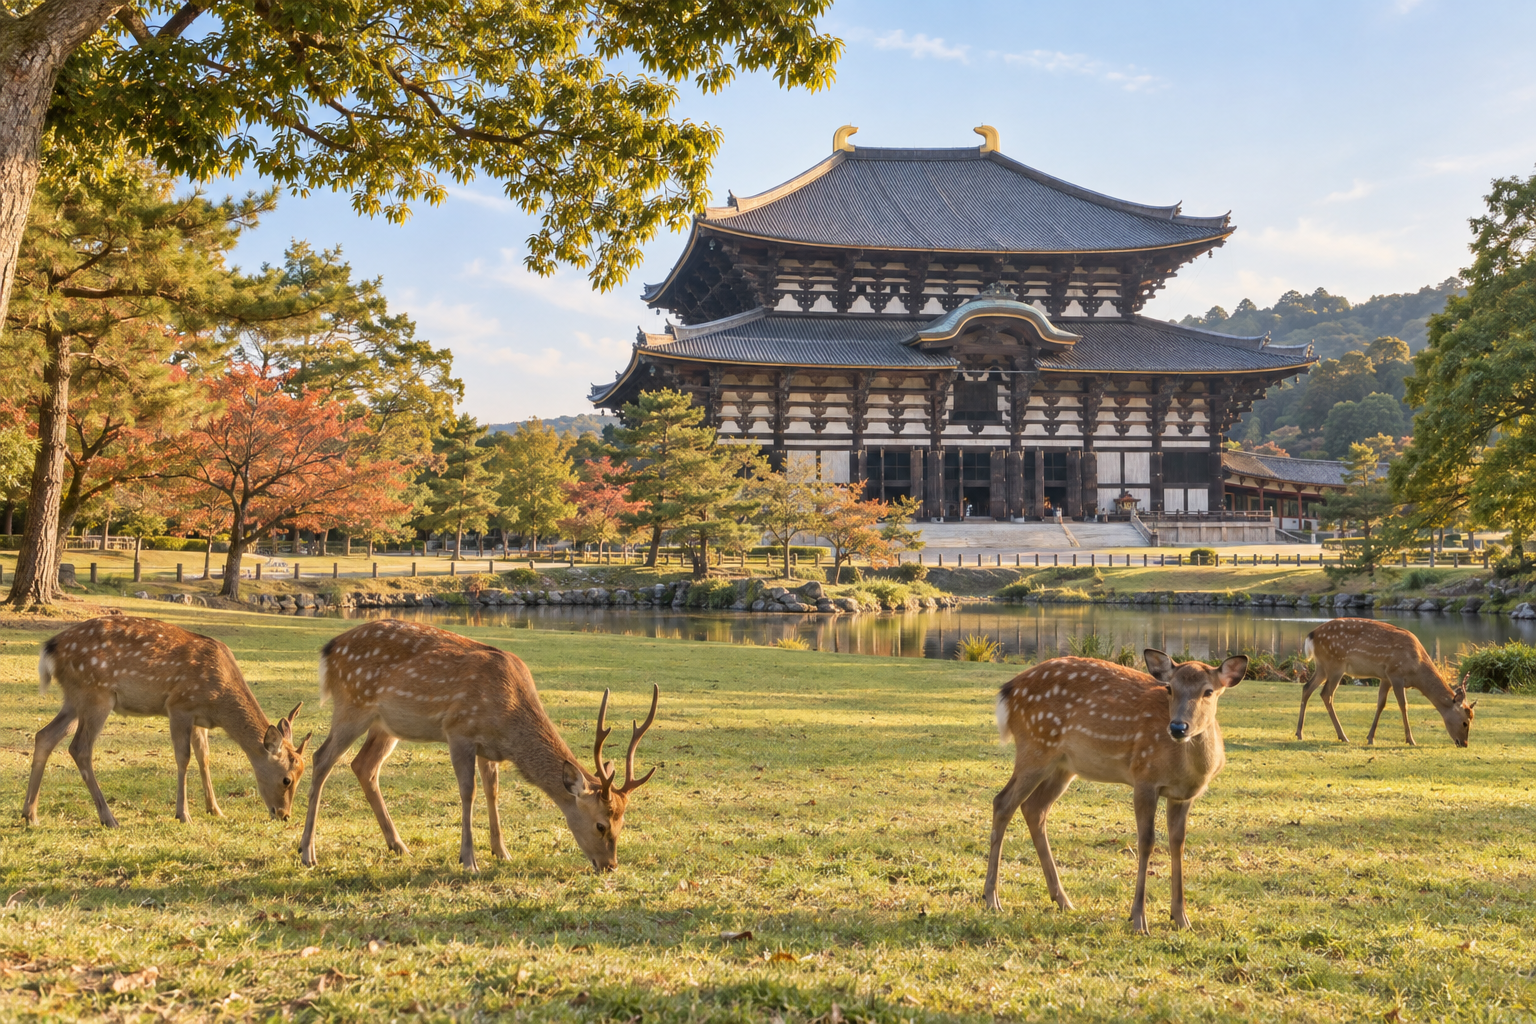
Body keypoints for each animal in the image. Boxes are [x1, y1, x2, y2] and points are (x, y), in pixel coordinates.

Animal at [25, 616, 310, 826]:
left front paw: (215, 810)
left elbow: (204, 757)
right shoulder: (179, 705)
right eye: (287, 779)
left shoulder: (199, 718)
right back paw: (109, 818)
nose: (284, 815)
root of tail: (50, 649)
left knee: (44, 736)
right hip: (97, 694)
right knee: (79, 748)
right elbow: (183, 758)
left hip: (75, 699)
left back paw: (30, 814)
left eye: (301, 775)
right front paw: (183, 815)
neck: (219, 701)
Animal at [297, 619, 658, 873]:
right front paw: (469, 860)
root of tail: (329, 649)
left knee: (364, 766)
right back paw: (307, 852)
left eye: (622, 823)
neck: (510, 719)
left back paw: (398, 845)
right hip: (353, 705)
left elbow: (492, 791)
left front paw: (502, 852)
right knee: (321, 758)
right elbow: (468, 791)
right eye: (600, 824)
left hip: (386, 725)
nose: (610, 865)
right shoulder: (459, 731)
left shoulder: (489, 749)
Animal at [984, 651, 1247, 934]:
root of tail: (1009, 690)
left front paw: (1181, 918)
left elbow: (1178, 843)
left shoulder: (1182, 796)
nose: (1178, 727)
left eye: (1208, 691)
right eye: (1170, 688)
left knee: (1034, 808)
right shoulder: (1144, 778)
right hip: (1035, 747)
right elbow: (1146, 842)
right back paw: (992, 899)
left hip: (1063, 766)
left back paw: (1062, 900)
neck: (1190, 769)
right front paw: (1139, 920)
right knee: (1003, 802)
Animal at [1296, 617, 1476, 747]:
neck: (1416, 669)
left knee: (1307, 688)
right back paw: (1343, 736)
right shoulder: (1395, 673)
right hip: (1335, 664)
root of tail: (1311, 635)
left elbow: (1380, 704)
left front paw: (1370, 738)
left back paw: (1299, 733)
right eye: (1465, 722)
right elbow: (1403, 705)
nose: (1464, 744)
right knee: (1326, 694)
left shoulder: (1384, 678)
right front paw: (1410, 740)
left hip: (1322, 666)